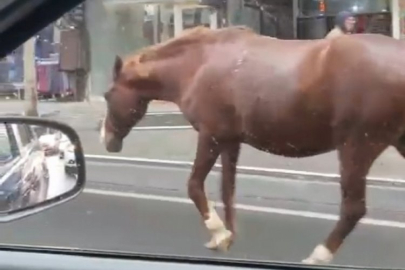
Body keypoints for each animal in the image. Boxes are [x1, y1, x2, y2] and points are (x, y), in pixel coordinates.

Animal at [99, 26, 404, 264]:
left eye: (107, 94)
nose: (106, 139)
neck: (198, 65)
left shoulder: (211, 136)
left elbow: (195, 185)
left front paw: (219, 233)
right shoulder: (230, 141)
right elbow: (227, 191)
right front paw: (227, 238)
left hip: (357, 147)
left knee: (353, 209)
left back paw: (318, 255)